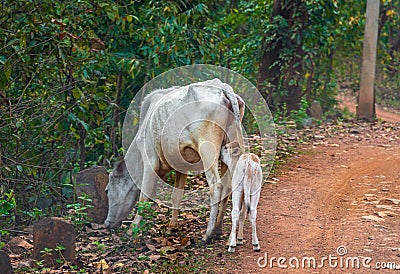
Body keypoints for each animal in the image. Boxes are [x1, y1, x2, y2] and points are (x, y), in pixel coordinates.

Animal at [103, 79, 245, 242]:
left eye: (107, 190)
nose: (107, 223)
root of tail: (223, 88)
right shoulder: (181, 166)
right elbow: (176, 196)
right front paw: (172, 226)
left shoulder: (150, 162)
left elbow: (144, 197)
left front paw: (132, 229)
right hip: (229, 150)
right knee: (229, 186)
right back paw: (218, 229)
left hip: (208, 150)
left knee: (216, 186)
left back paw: (208, 234)